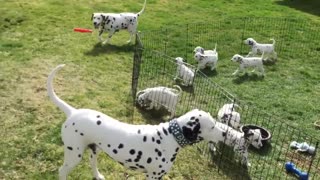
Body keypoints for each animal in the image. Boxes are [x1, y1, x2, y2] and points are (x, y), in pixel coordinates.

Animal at [47, 64, 222, 179]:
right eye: (212, 126)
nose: (224, 133)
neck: (170, 137)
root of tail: (73, 111)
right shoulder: (153, 176)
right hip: (74, 155)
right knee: (62, 171)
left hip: (93, 149)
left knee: (92, 163)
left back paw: (98, 175)